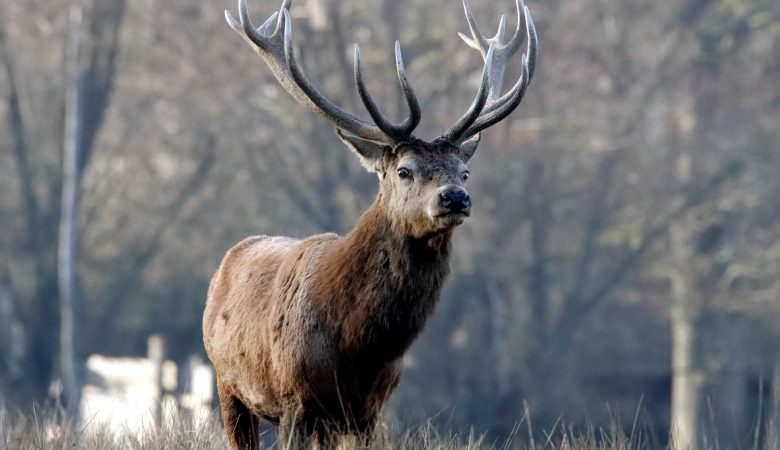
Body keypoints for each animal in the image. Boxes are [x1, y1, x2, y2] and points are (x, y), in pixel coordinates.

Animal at [203, 0, 537, 448]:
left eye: (464, 171)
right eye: (404, 171)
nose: (455, 198)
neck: (357, 347)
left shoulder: (368, 410)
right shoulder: (294, 400)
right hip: (228, 384)